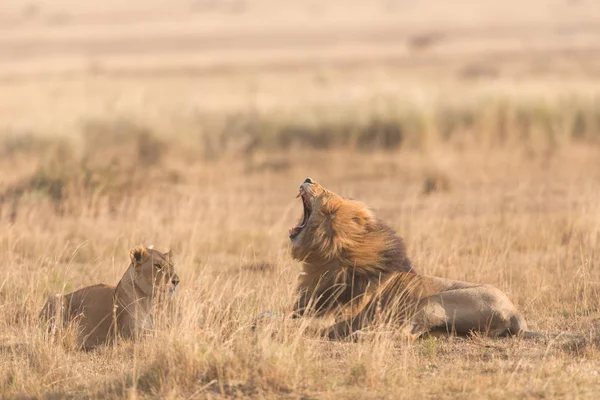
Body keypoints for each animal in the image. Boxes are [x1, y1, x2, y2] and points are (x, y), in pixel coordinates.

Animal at [39, 245, 179, 352]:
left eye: (172, 265)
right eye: (158, 266)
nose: (176, 281)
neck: (147, 300)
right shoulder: (132, 335)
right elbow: (159, 338)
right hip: (58, 298)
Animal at [290, 178, 548, 340]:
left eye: (325, 194)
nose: (308, 179)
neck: (325, 261)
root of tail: (515, 313)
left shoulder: (339, 315)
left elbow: (298, 324)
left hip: (430, 302)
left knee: (407, 333)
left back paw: (361, 335)